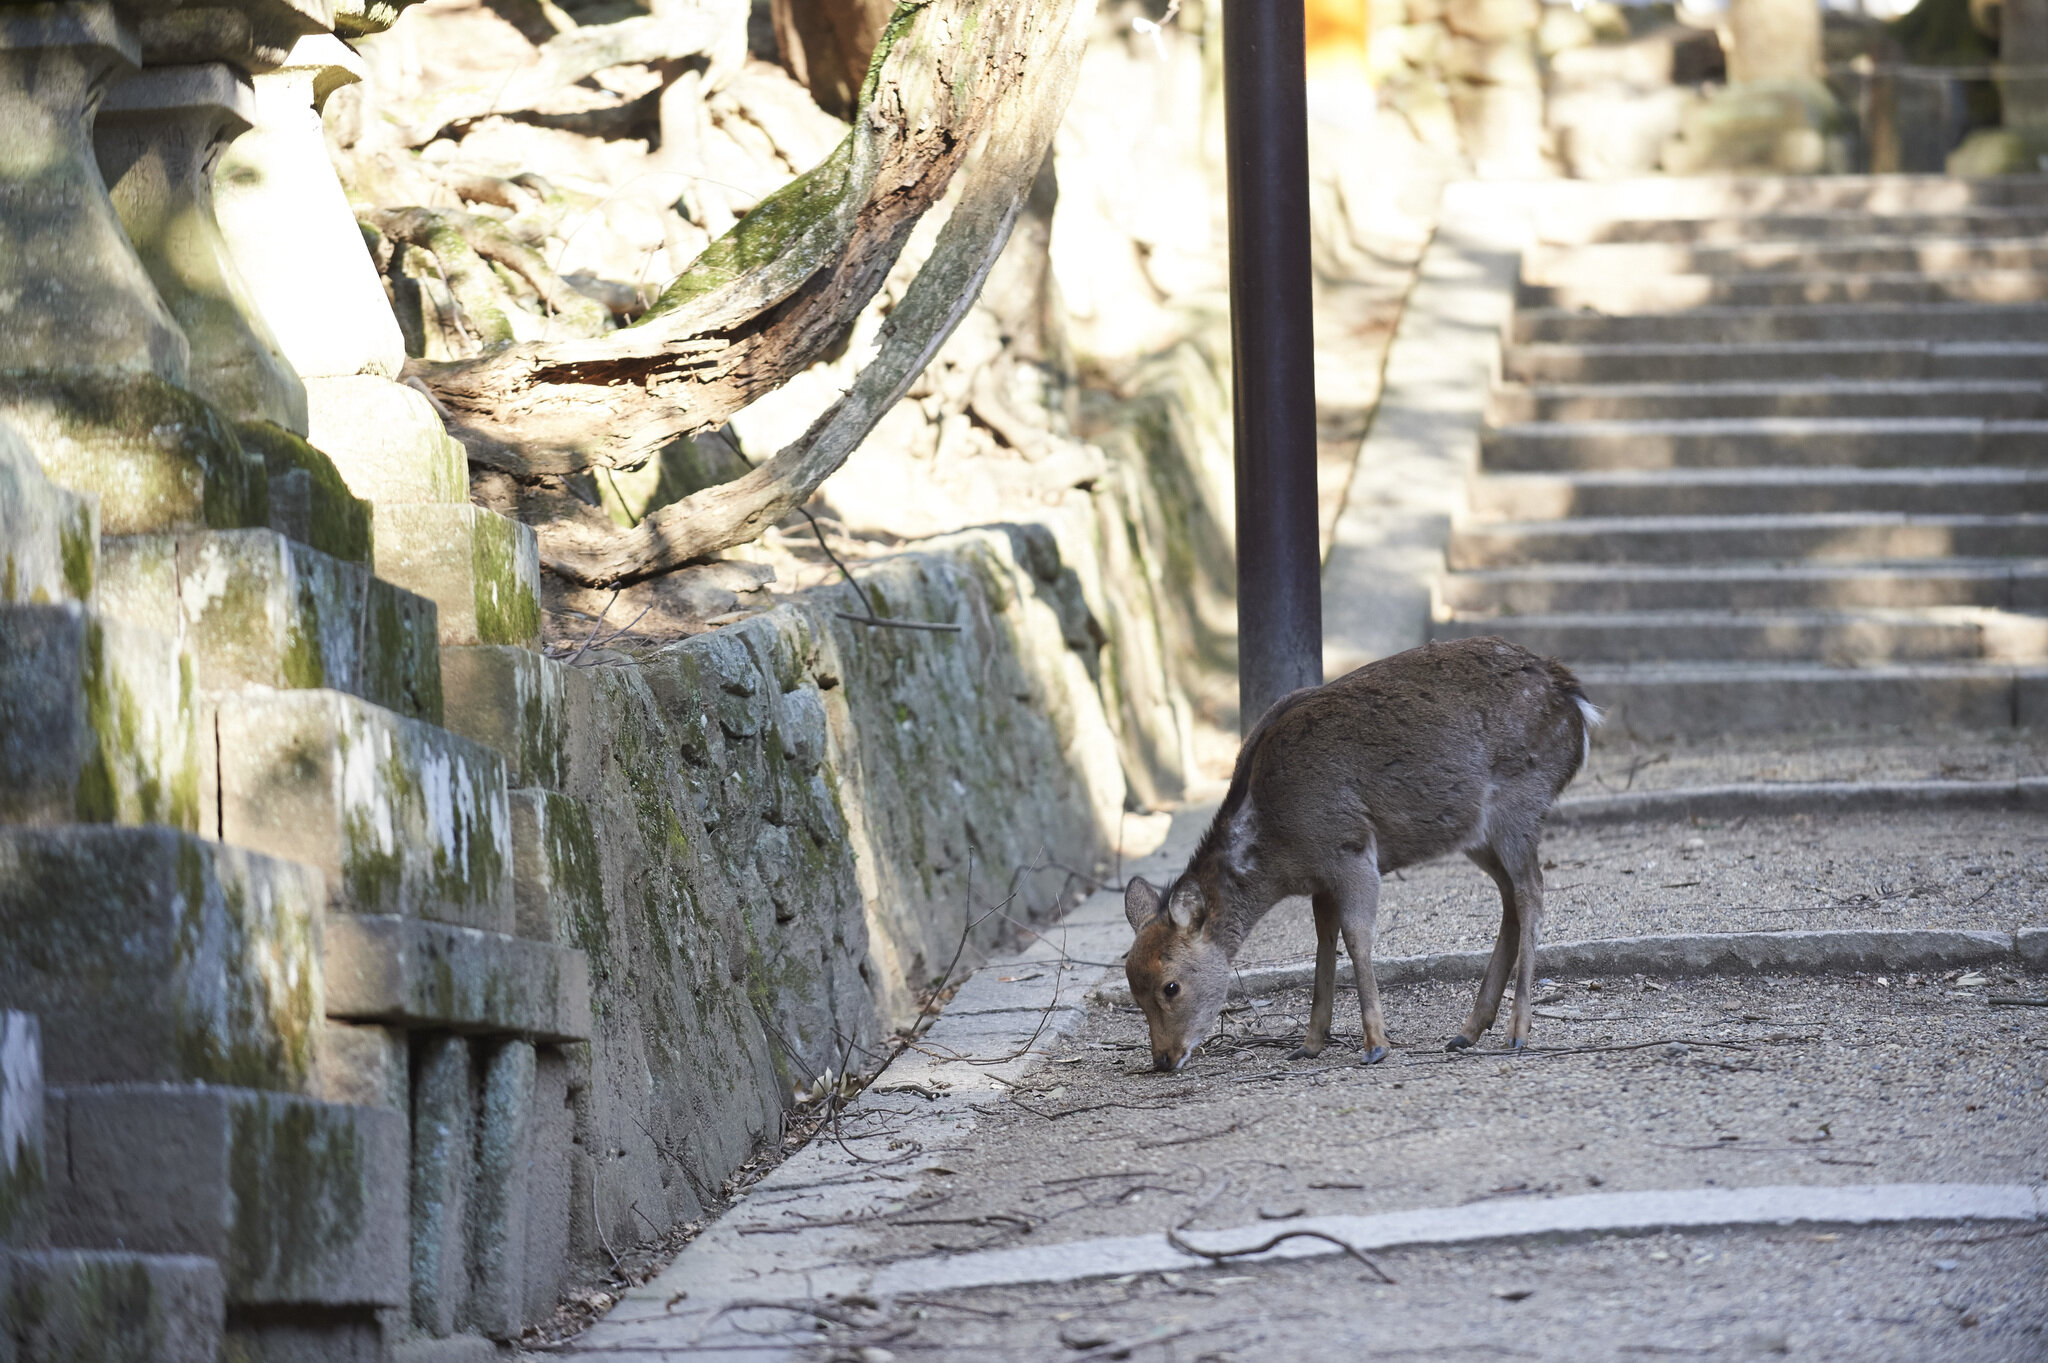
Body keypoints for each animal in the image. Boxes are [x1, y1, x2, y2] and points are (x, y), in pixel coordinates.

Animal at [1130, 638, 1589, 1072]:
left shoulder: (1349, 850)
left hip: (1519, 800)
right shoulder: (1320, 879)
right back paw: (1468, 1031)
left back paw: (1518, 1031)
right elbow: (1323, 941)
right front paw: (1309, 1044)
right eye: (1134, 989)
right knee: (1510, 897)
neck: (1280, 855)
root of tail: (1577, 705)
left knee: (1531, 893)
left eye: (1170, 986)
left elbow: (1355, 937)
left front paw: (1375, 1045)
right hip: (1477, 834)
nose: (1164, 1058)